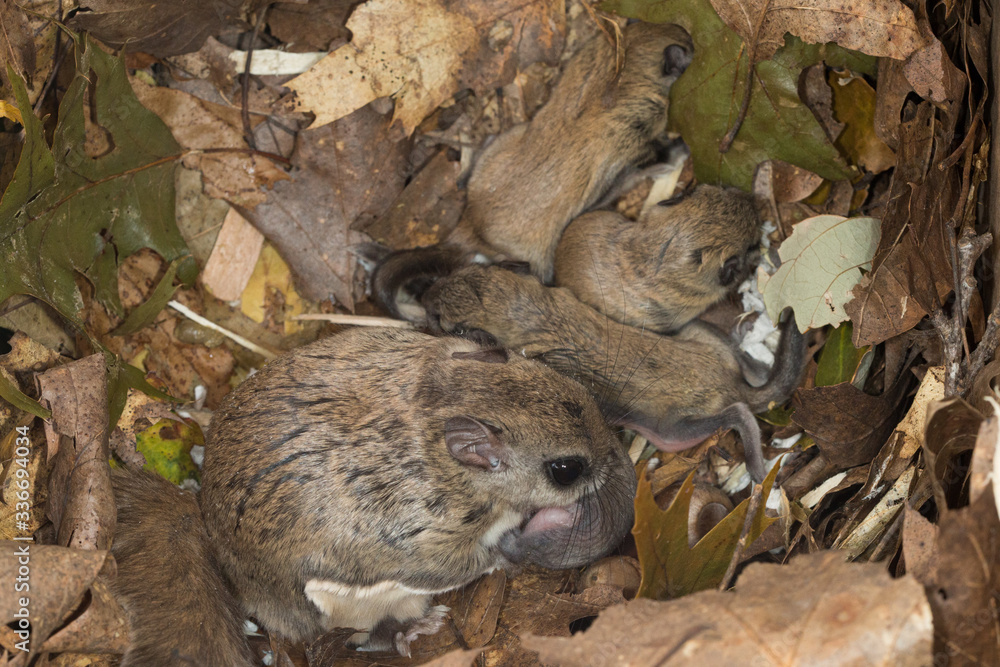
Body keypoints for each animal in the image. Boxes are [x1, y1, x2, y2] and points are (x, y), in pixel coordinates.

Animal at [108, 327, 636, 661]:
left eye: (580, 395)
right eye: (566, 470)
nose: (616, 458)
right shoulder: (429, 542)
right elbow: (469, 561)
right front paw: (506, 554)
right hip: (343, 603)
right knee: (362, 636)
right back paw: (411, 632)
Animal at [372, 21, 693, 323]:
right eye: (686, 46)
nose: (689, 37)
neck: (619, 77)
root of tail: (467, 230)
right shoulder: (631, 151)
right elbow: (651, 161)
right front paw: (680, 150)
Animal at [421, 265, 806, 483]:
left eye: (446, 321)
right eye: (456, 274)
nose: (427, 293)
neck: (527, 313)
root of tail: (730, 384)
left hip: (671, 430)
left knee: (737, 412)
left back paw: (757, 468)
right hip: (699, 334)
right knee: (742, 361)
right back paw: (752, 356)